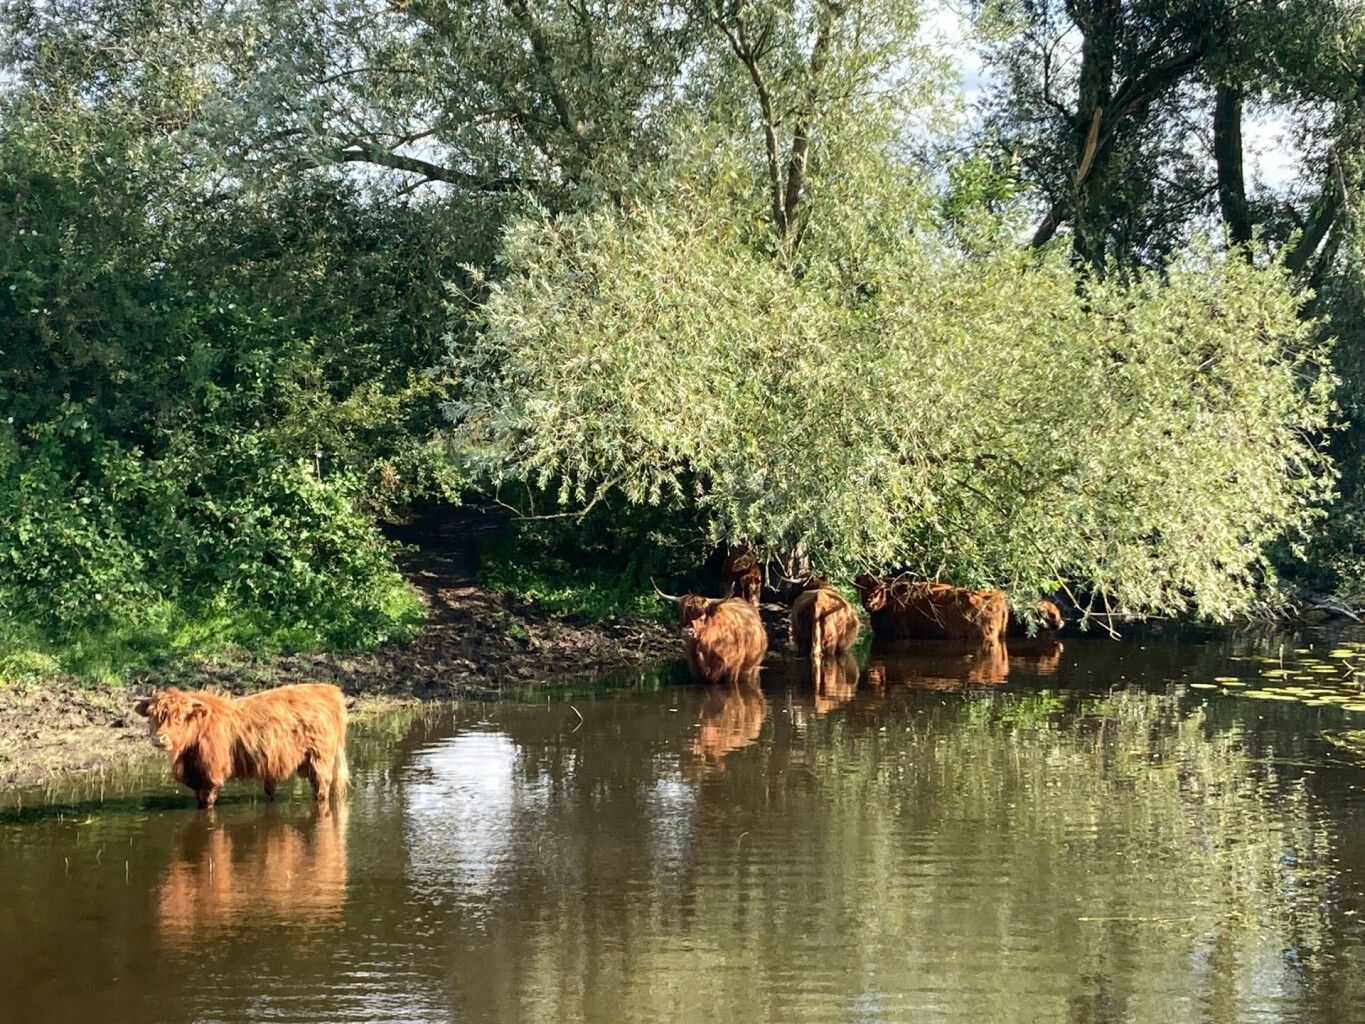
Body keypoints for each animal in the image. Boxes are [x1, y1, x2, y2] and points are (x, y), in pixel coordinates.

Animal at [135, 683, 349, 810]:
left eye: (179, 717)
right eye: (152, 716)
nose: (159, 738)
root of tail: (327, 689)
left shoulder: (210, 776)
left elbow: (207, 803)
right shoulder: (196, 777)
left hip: (320, 760)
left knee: (321, 789)